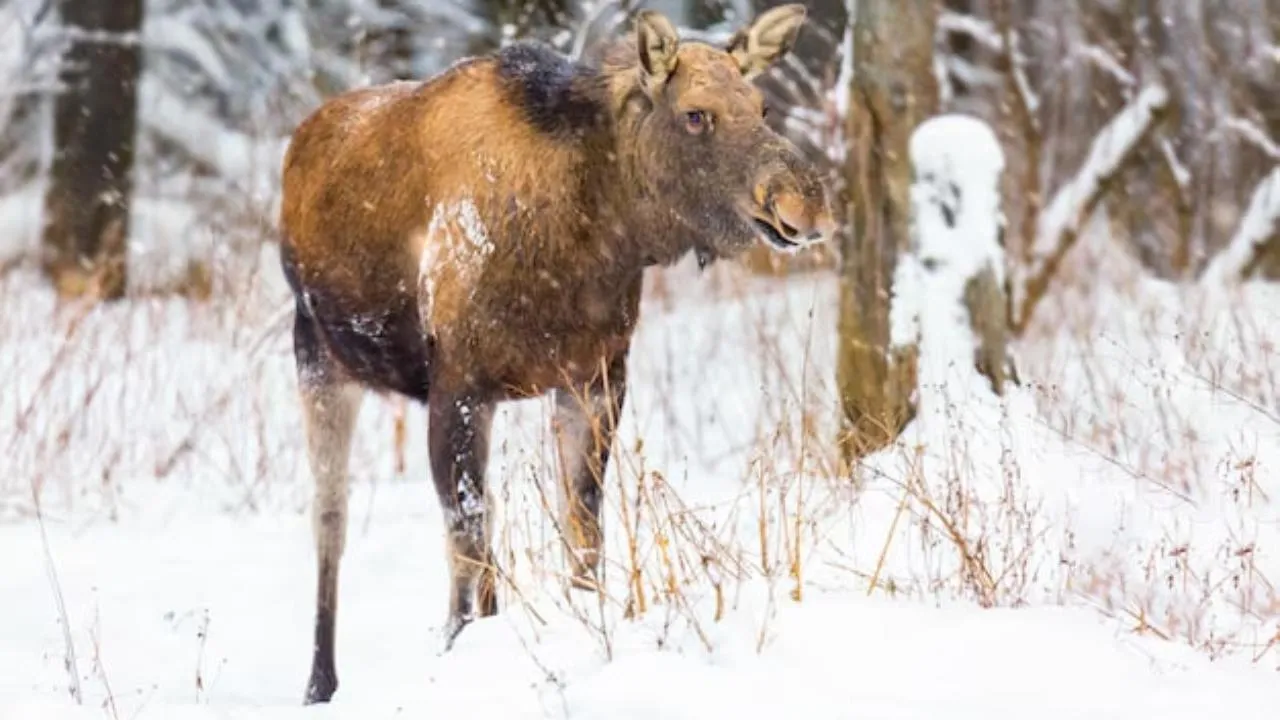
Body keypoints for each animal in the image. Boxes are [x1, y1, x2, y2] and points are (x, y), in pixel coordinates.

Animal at [279, 4, 834, 702]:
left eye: (761, 105)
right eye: (695, 114)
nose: (804, 201)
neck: (595, 236)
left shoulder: (592, 379)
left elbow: (582, 527)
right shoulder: (458, 383)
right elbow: (466, 542)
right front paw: (452, 652)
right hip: (318, 357)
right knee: (331, 519)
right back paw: (319, 683)